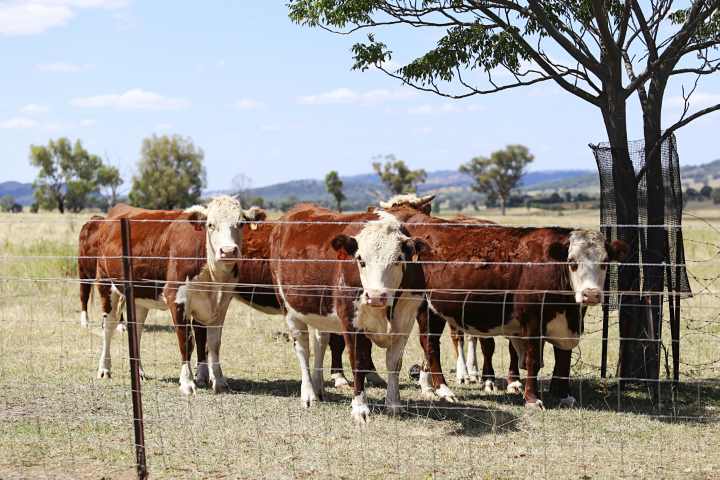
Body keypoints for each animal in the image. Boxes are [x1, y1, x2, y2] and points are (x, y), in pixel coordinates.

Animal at [93, 195, 264, 394]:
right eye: (210, 224)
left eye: (241, 223)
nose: (228, 251)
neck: (213, 278)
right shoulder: (176, 298)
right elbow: (186, 342)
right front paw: (187, 382)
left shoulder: (222, 303)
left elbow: (214, 343)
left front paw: (219, 380)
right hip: (106, 286)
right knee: (109, 327)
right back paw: (104, 369)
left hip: (138, 299)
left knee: (136, 331)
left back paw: (139, 372)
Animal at [268, 204, 430, 422]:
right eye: (360, 260)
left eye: (398, 259)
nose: (375, 296)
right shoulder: (351, 324)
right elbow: (358, 362)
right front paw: (360, 408)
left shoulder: (405, 323)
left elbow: (394, 362)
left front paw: (394, 405)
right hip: (289, 309)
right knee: (303, 348)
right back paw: (309, 394)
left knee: (320, 342)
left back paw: (319, 388)